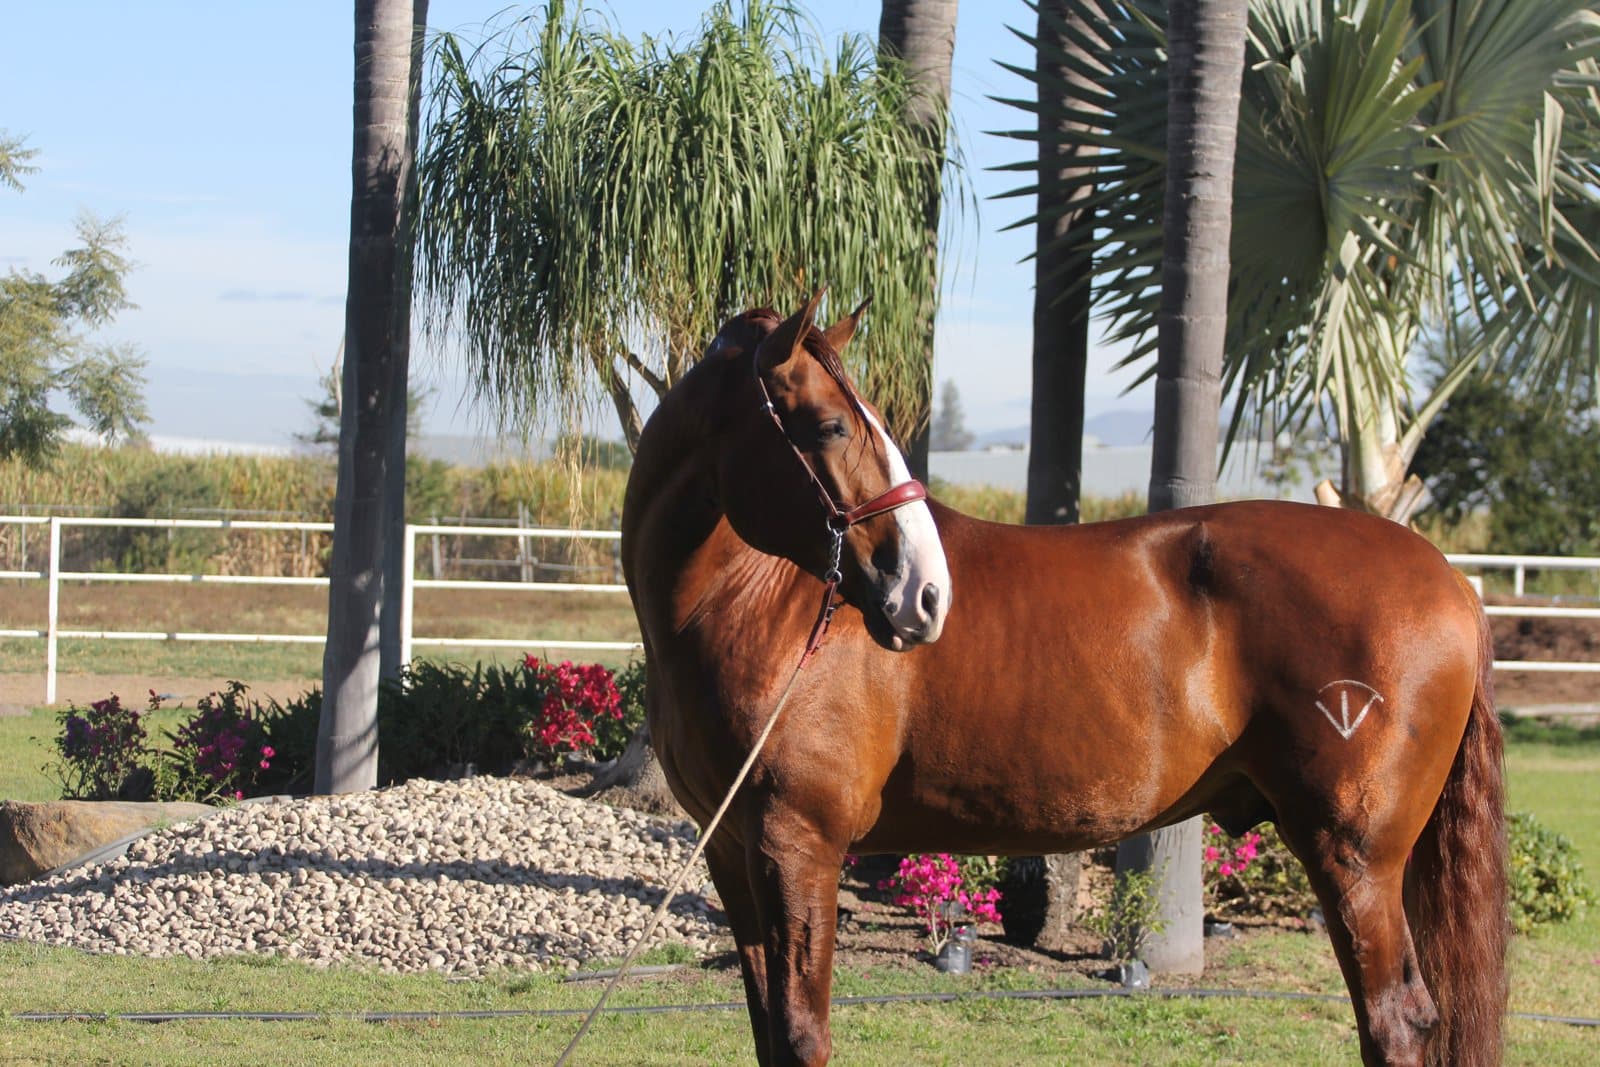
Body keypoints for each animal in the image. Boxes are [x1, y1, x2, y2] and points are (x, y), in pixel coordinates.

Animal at [620, 293, 1508, 1067]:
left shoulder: (799, 843)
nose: (926, 593)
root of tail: (1452, 580)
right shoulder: (734, 851)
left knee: (1396, 1020)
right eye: (833, 424)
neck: (758, 602)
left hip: (1356, 858)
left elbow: (803, 1034)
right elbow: (771, 1030)